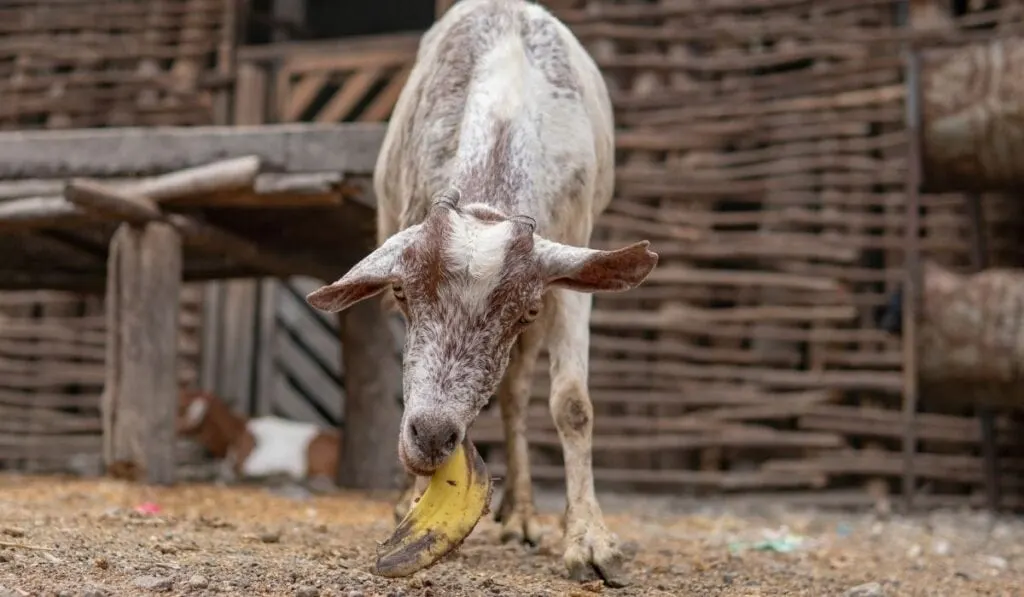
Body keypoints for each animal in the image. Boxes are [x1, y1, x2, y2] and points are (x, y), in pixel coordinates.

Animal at [306, 0, 657, 585]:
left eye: (526, 308)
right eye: (401, 291)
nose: (431, 436)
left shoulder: (568, 265)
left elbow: (572, 404)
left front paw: (589, 540)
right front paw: (413, 502)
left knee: (516, 395)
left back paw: (520, 515)